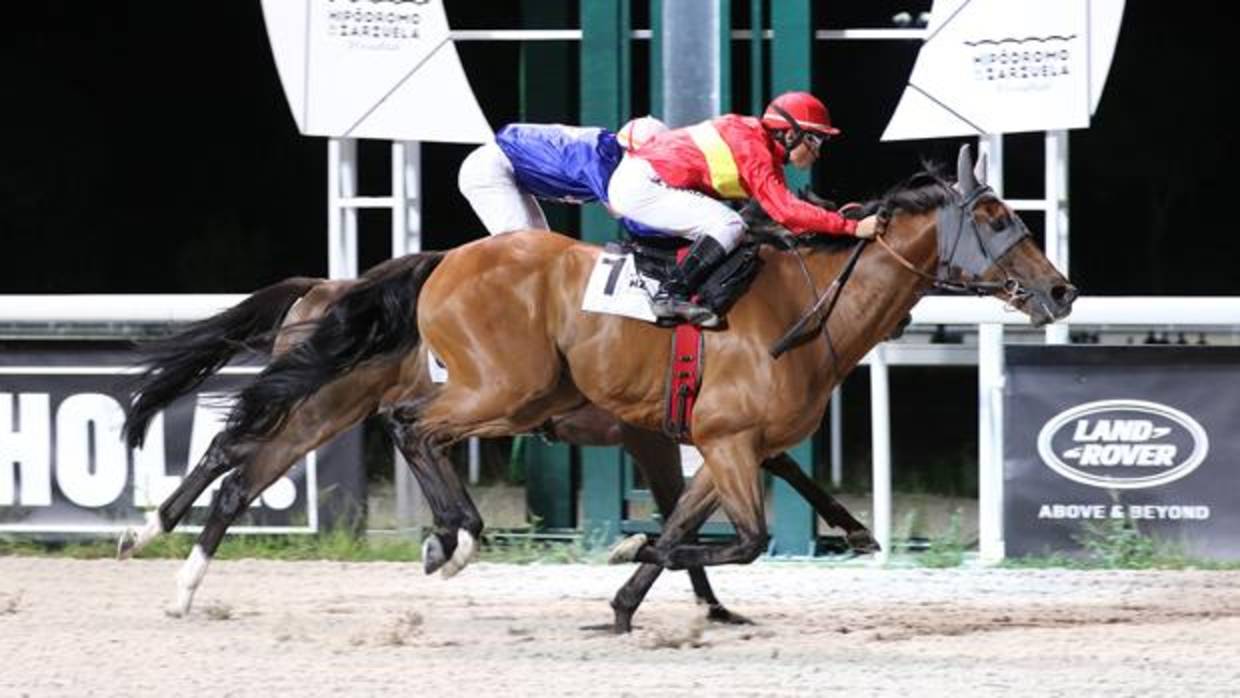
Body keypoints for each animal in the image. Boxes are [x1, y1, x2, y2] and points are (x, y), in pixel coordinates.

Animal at [123, 145, 1076, 629]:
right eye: (998, 217)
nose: (1062, 291)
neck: (803, 302)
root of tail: (439, 262)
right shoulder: (723, 439)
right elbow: (741, 539)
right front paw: (634, 560)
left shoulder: (714, 445)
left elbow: (692, 527)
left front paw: (630, 600)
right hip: (483, 389)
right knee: (388, 428)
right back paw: (450, 539)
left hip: (362, 397)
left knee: (248, 462)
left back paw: (174, 564)